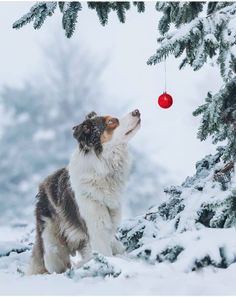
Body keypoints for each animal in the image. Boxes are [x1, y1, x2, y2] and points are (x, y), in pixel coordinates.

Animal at [28, 108, 141, 272]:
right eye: (111, 122)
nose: (137, 111)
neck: (102, 169)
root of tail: (43, 185)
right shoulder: (96, 225)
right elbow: (105, 252)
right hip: (52, 247)